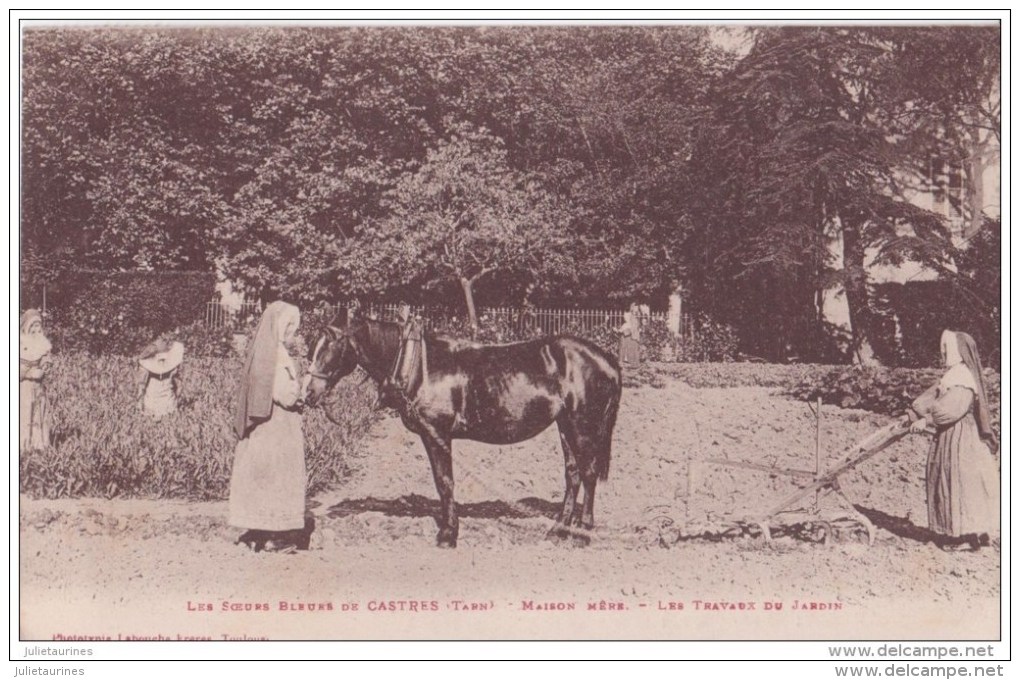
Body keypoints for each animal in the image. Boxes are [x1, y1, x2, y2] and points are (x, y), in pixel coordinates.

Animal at [301, 311, 620, 550]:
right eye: (313, 345)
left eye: (332, 345)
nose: (308, 393)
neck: (420, 366)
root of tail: (607, 360)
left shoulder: (437, 434)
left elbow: (445, 482)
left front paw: (448, 534)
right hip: (565, 425)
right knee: (573, 475)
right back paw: (558, 530)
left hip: (582, 425)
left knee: (588, 474)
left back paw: (582, 533)